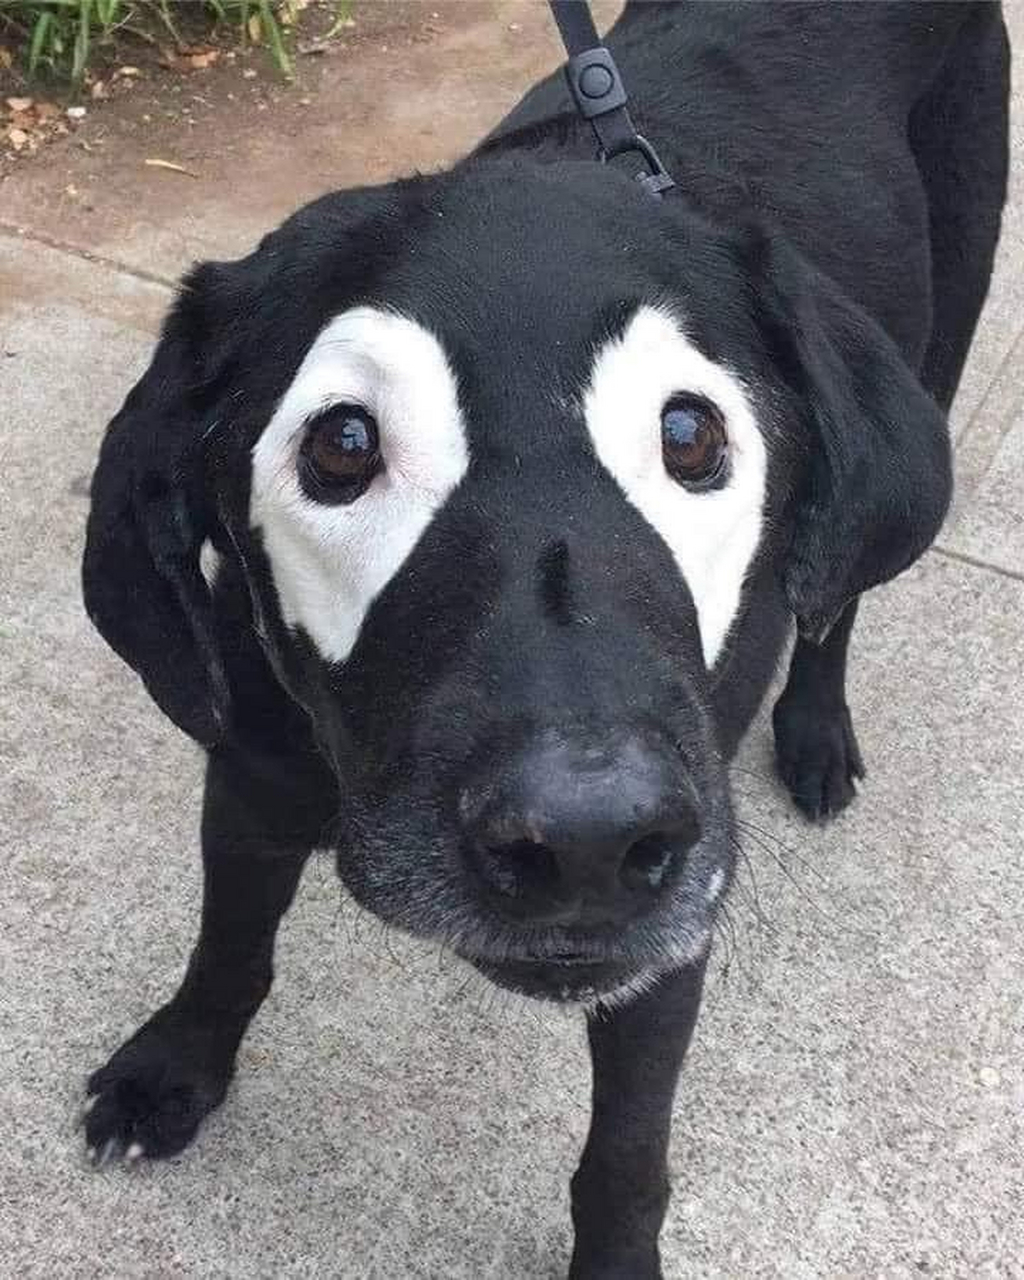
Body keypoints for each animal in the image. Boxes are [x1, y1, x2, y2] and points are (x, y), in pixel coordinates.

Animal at [80, 5, 1008, 1274]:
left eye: (689, 434)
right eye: (340, 445)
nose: (585, 837)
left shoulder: (665, 943)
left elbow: (625, 1153)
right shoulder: (252, 772)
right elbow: (229, 940)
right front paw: (176, 1065)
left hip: (949, 312)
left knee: (839, 597)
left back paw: (816, 727)